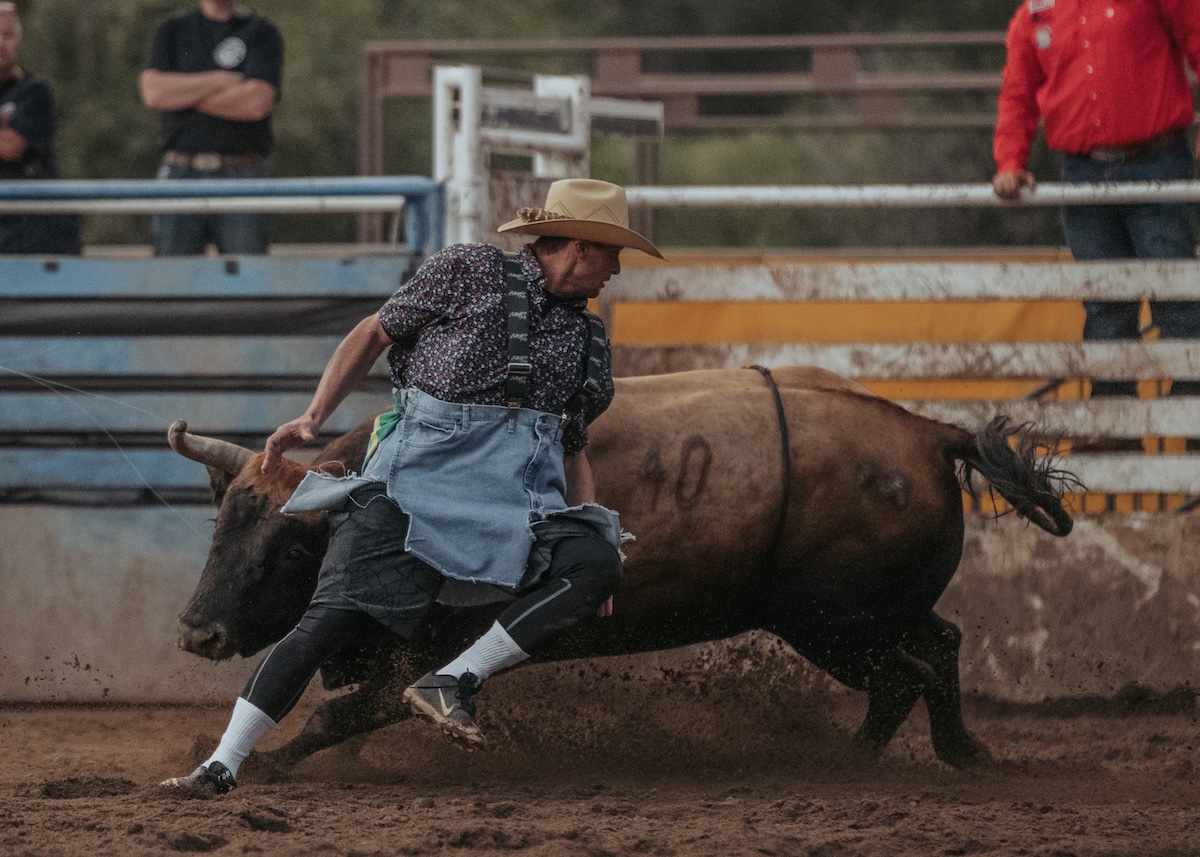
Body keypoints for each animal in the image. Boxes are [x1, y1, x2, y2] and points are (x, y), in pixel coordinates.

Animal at [167, 366, 1073, 775]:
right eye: (221, 527)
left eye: (290, 549)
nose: (197, 631)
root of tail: (927, 433)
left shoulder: (432, 650)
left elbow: (347, 709)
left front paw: (271, 762)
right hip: (866, 614)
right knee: (935, 650)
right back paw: (941, 750)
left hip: (836, 624)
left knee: (907, 670)